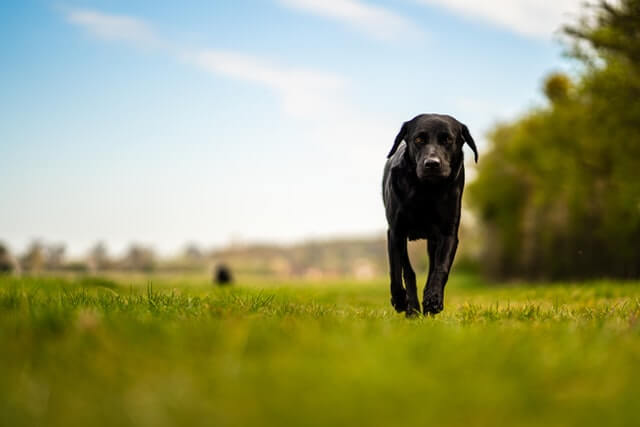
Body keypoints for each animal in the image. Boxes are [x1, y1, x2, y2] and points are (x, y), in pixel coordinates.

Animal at [382, 115, 478, 316]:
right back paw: (411, 308)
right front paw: (400, 300)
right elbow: (397, 269)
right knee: (407, 270)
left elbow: (440, 268)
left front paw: (433, 299)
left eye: (448, 140)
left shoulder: (448, 234)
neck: (426, 191)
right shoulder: (395, 232)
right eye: (419, 139)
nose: (432, 163)